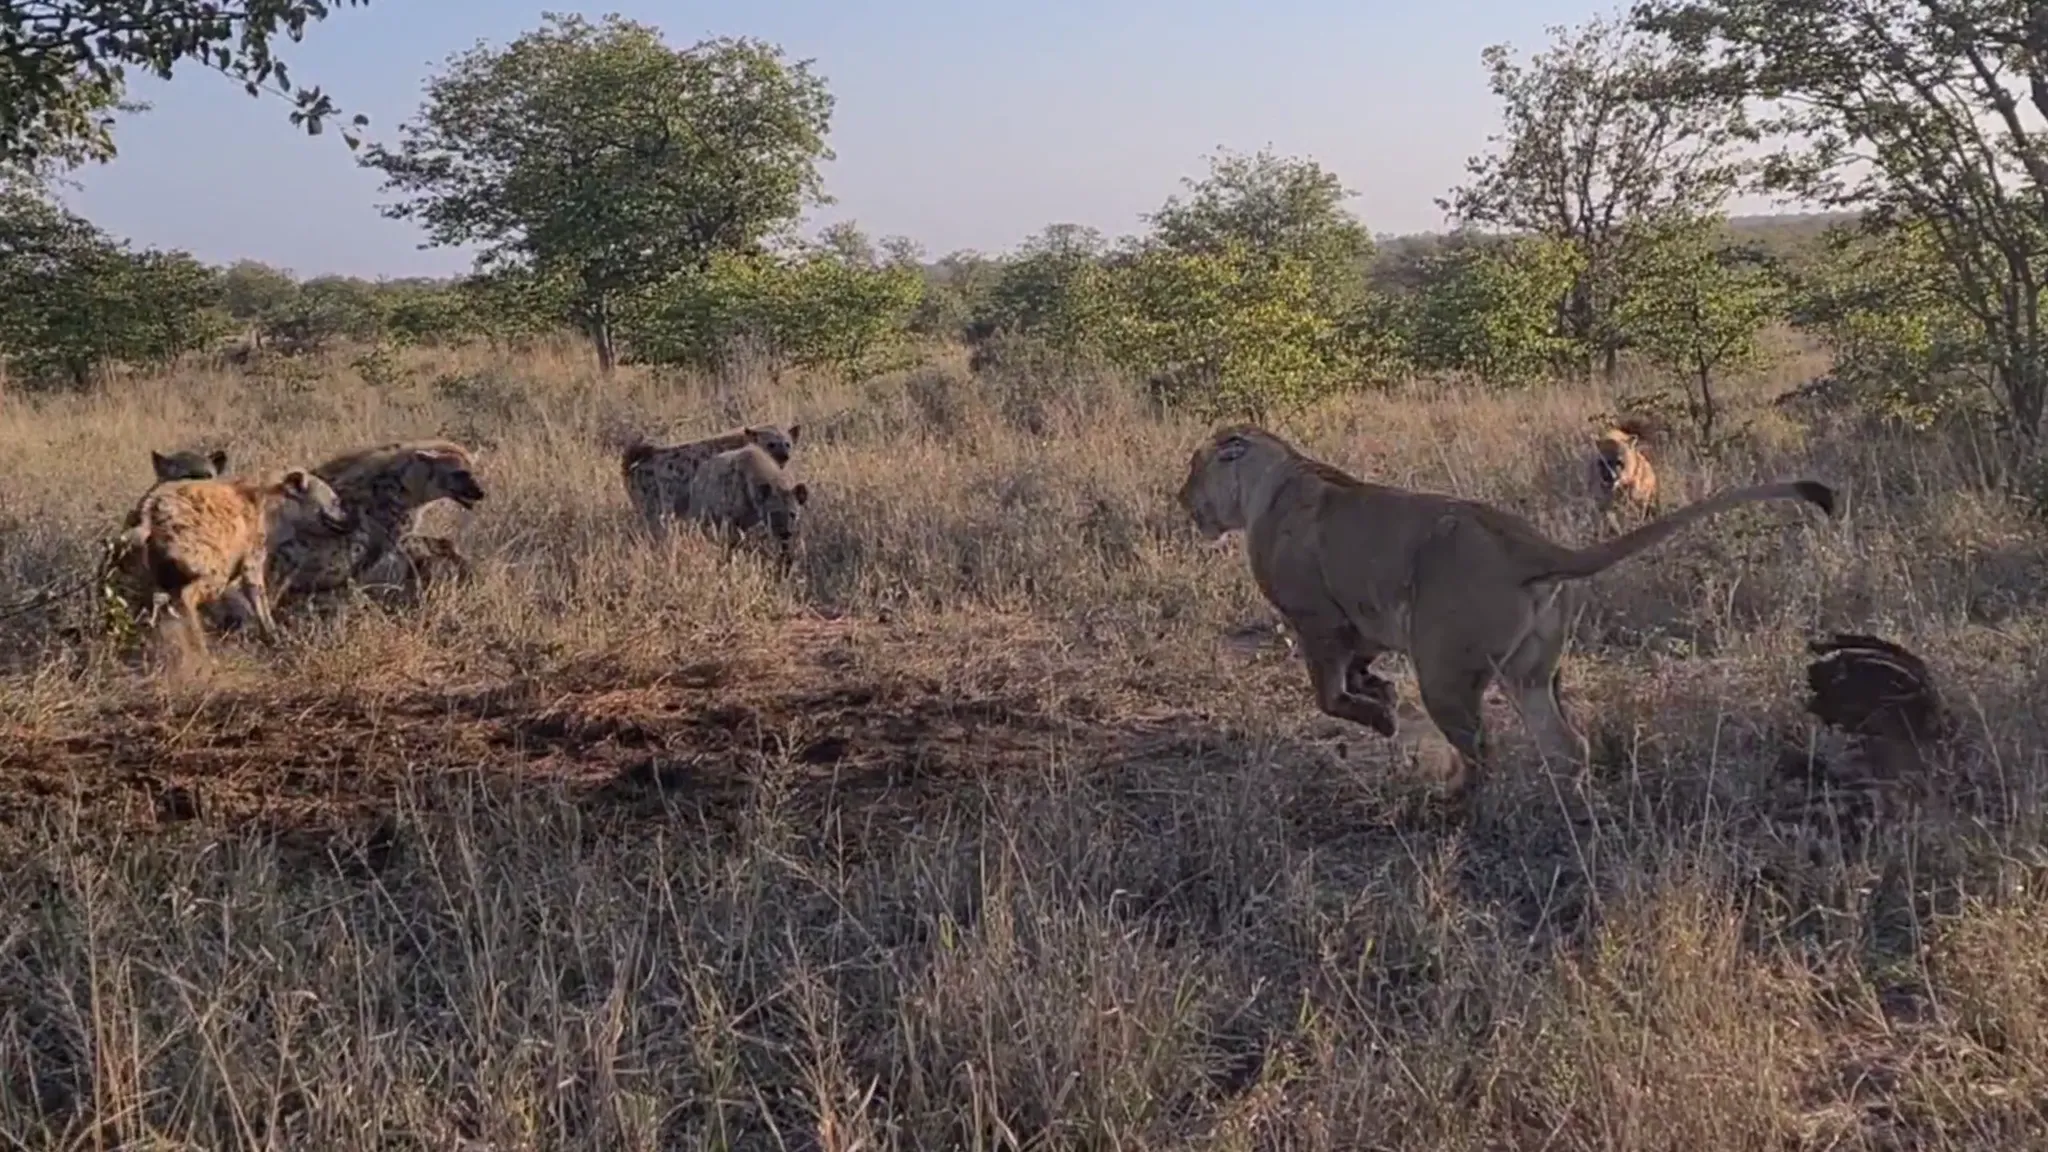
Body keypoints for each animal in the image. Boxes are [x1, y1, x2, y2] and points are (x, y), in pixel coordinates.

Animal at [130, 467, 353, 667]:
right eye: (335, 501)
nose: (350, 518)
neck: (275, 509)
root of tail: (150, 507)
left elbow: (241, 601)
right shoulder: (252, 558)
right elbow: (257, 596)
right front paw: (273, 636)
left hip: (159, 571)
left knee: (161, 601)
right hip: (213, 566)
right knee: (186, 595)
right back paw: (203, 653)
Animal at [1178, 424, 1837, 807]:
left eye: (1193, 466)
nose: (1182, 500)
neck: (1271, 479)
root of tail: (1531, 544)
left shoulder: (1316, 619)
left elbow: (1329, 696)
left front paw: (1383, 716)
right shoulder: (1360, 626)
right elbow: (1357, 673)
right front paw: (1380, 692)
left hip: (1443, 669)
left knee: (1482, 752)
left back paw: (1450, 799)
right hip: (1532, 674)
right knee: (1567, 745)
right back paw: (1571, 809)